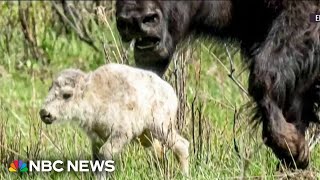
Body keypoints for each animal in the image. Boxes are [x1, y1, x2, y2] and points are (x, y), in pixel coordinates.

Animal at [40, 63, 190, 179]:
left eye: (67, 95)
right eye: (50, 89)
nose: (44, 113)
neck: (94, 94)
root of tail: (171, 92)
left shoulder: (121, 133)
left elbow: (105, 153)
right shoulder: (97, 138)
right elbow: (96, 157)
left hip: (161, 127)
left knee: (181, 145)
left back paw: (184, 174)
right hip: (147, 136)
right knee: (159, 152)